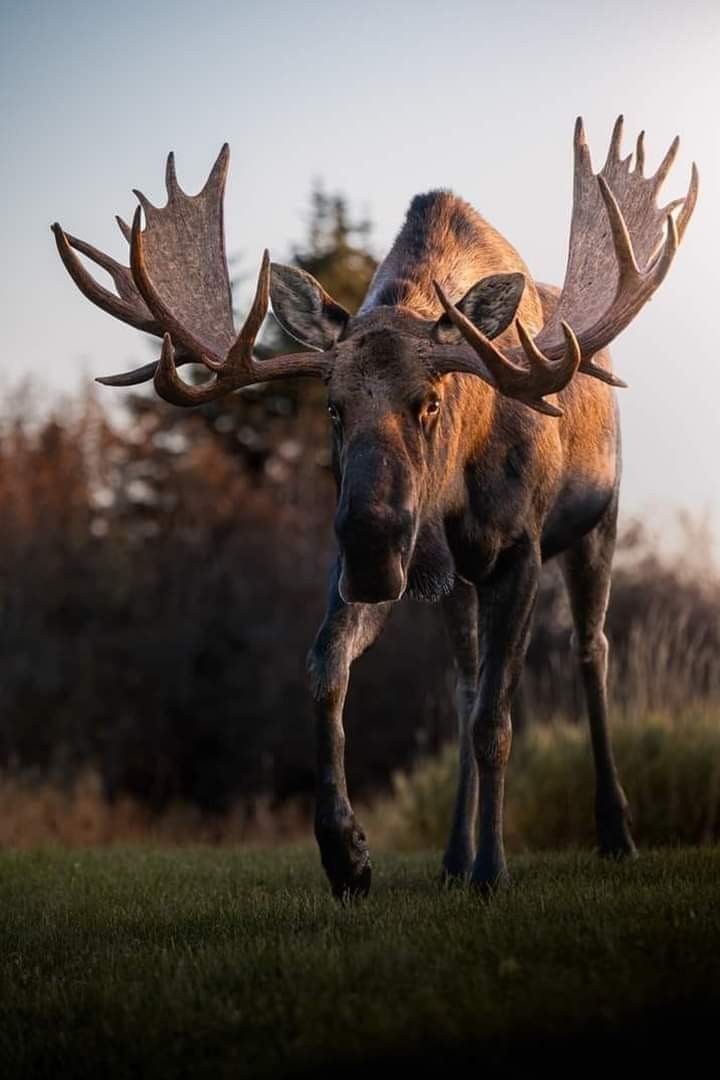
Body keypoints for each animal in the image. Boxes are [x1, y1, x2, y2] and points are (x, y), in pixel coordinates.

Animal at [52, 116, 699, 894]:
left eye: (430, 401)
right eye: (332, 407)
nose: (371, 551)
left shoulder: (519, 548)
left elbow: (498, 720)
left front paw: (495, 872)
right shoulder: (391, 557)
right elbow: (327, 666)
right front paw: (347, 852)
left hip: (599, 522)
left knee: (589, 652)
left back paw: (613, 834)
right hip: (458, 580)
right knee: (463, 683)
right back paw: (452, 859)